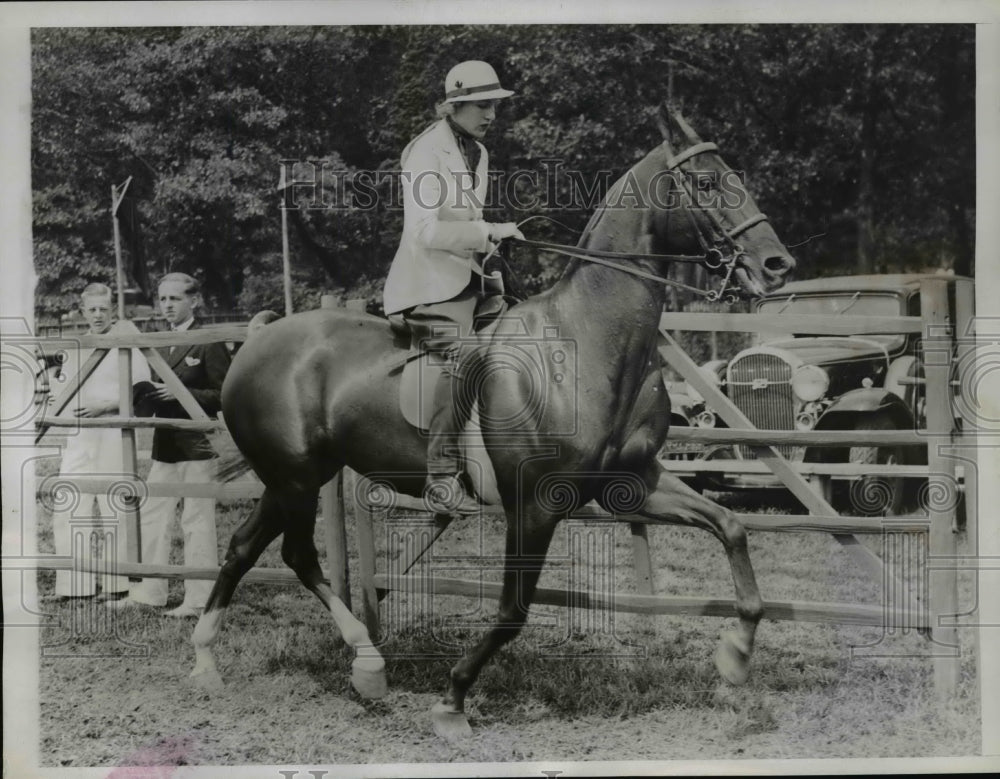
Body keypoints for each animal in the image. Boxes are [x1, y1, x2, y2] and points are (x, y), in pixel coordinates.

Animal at [189, 107, 796, 739]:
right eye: (705, 182)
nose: (777, 266)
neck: (586, 342)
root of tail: (257, 340)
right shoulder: (534, 504)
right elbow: (512, 611)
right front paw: (452, 698)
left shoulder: (631, 484)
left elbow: (731, 527)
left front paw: (736, 655)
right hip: (296, 477)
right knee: (295, 554)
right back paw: (365, 663)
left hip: (292, 478)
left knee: (247, 548)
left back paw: (213, 662)